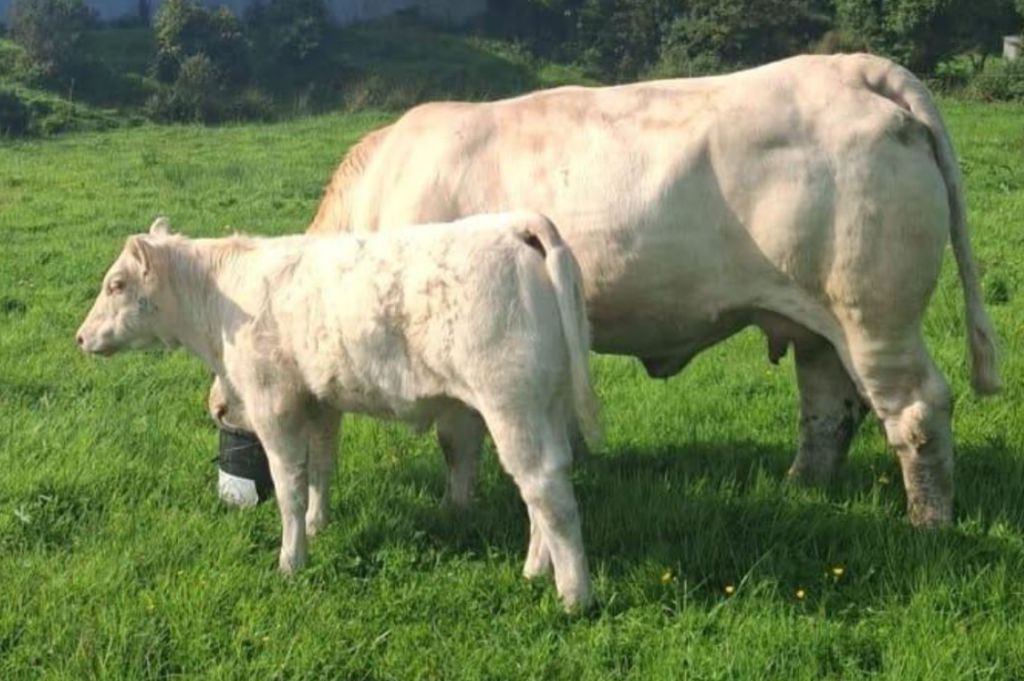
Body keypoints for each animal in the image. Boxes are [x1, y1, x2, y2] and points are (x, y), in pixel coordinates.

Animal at [77, 212, 599, 610]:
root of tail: (514, 223)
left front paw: (291, 560)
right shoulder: (321, 404)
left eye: (116, 284)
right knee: (541, 489)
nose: (80, 337)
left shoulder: (275, 405)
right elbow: (320, 469)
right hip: (545, 407)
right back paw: (535, 569)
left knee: (546, 491)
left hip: (511, 406)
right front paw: (317, 523)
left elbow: (288, 485)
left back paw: (573, 597)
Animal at [285, 53, 1003, 527]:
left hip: (873, 313)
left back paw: (927, 523)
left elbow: (456, 436)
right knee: (829, 410)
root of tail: (851, 65)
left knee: (915, 411)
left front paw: (456, 512)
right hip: (818, 321)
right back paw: (800, 486)